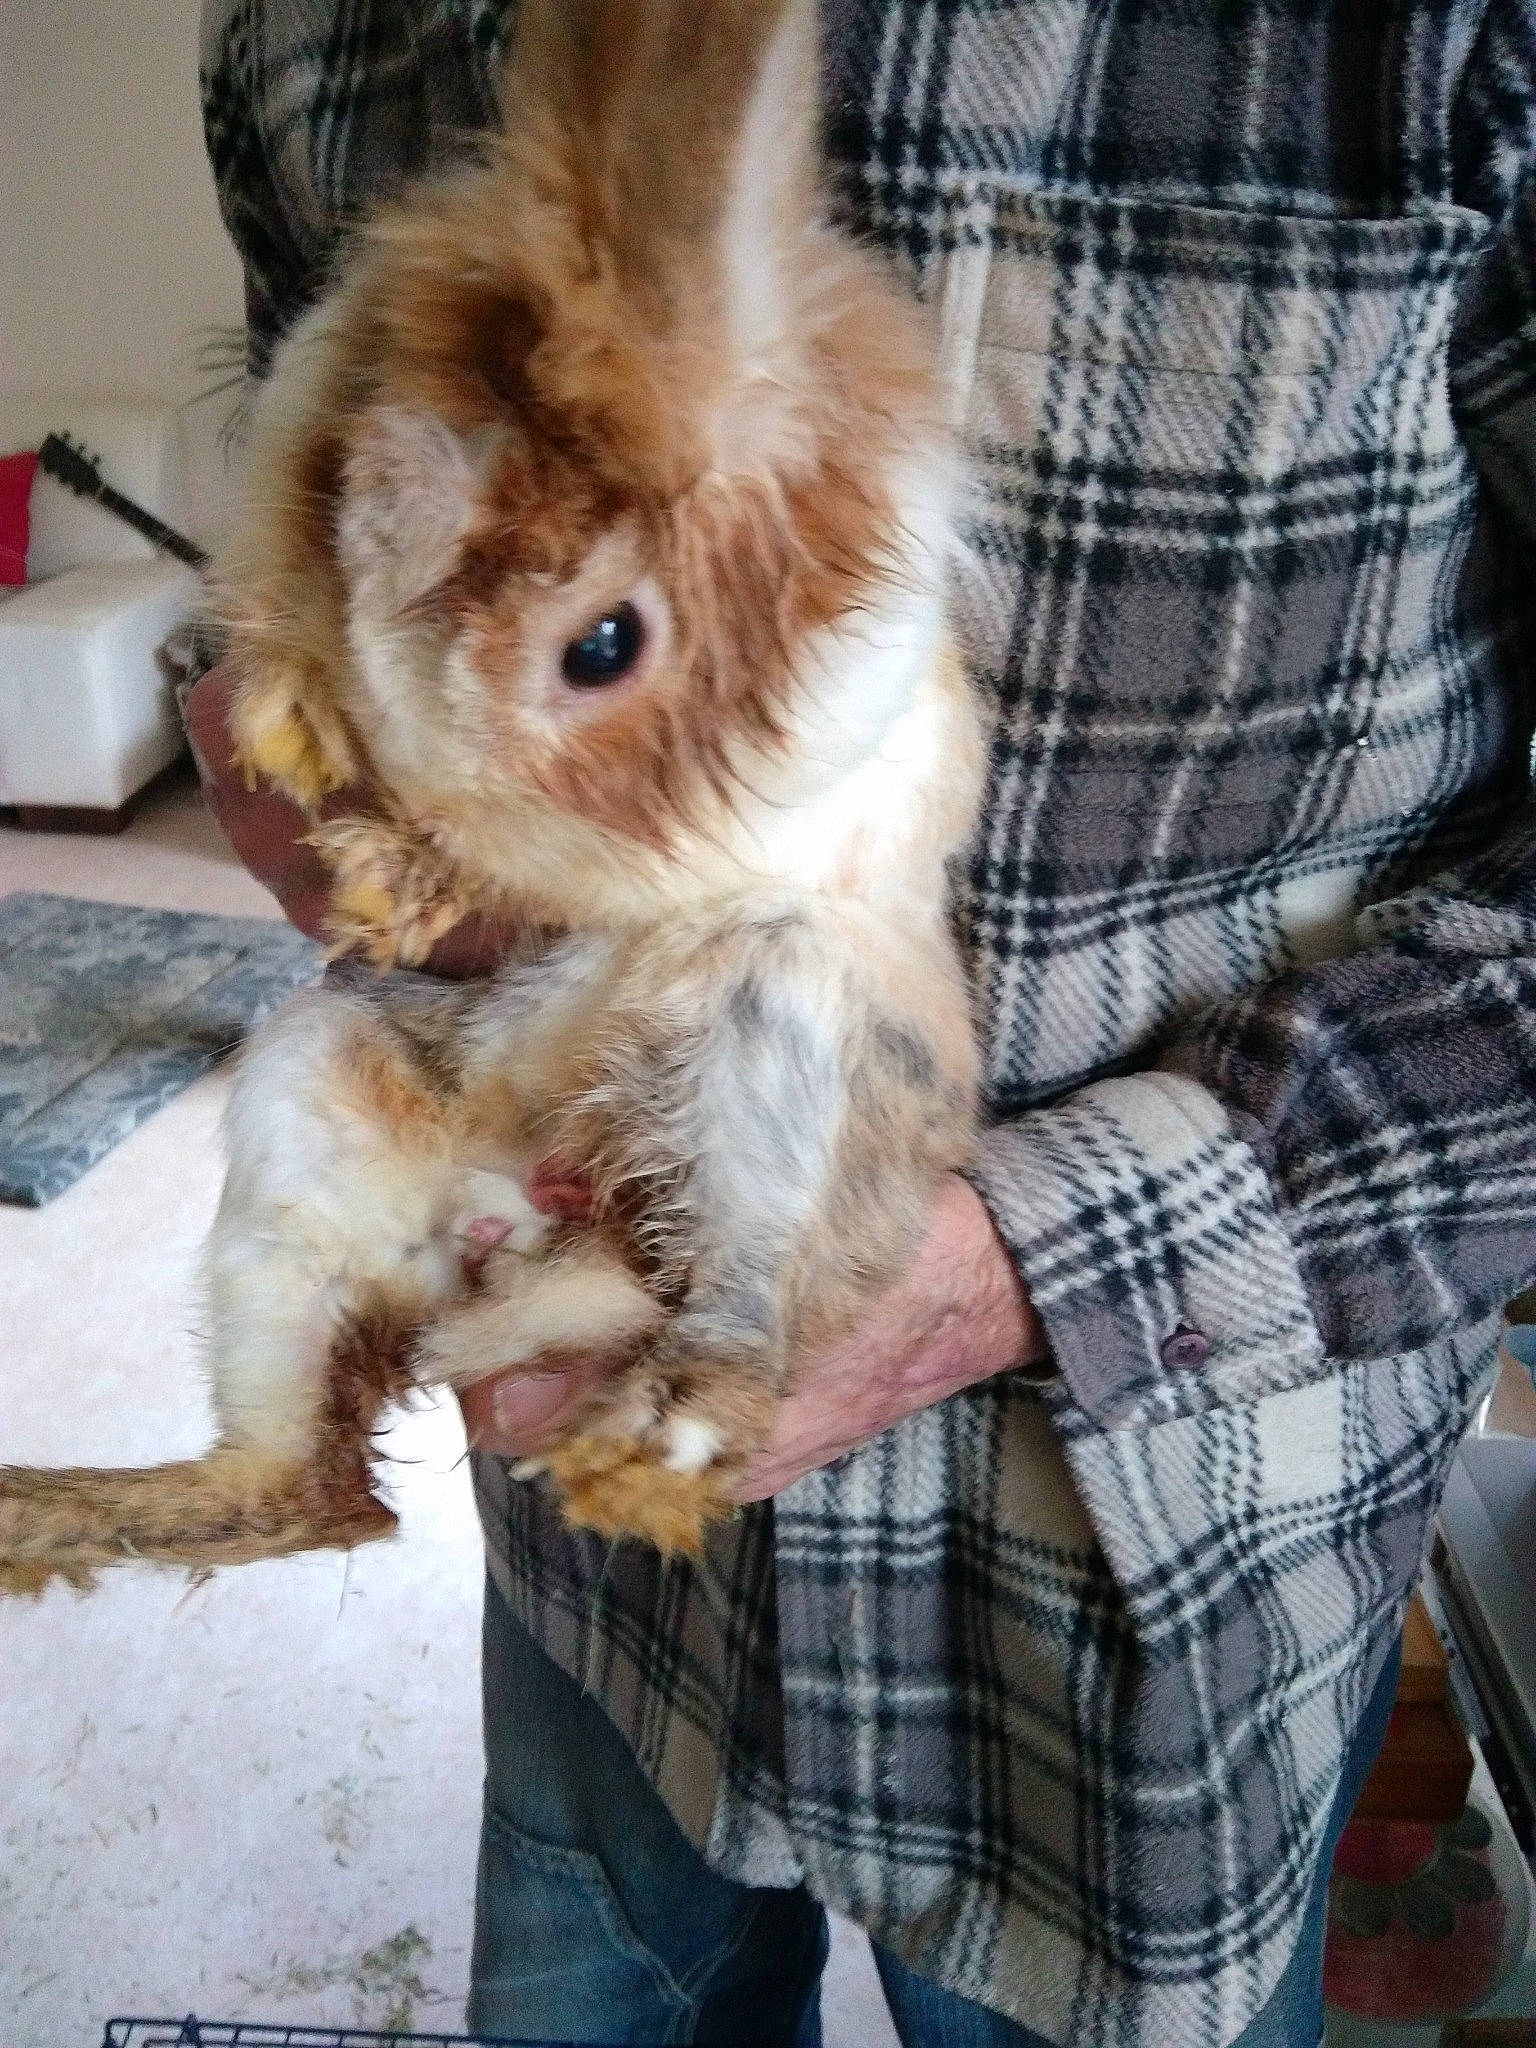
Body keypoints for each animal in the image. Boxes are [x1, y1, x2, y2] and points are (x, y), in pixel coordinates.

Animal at [0, 0, 983, 1590]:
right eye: (355, 466)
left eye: (604, 643)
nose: (411, 743)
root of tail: (515, 1208)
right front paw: (305, 755)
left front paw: (402, 868)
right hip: (312, 1105)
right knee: (302, 1488)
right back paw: (32, 1508)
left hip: (782, 1033)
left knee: (737, 1313)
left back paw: (643, 1454)